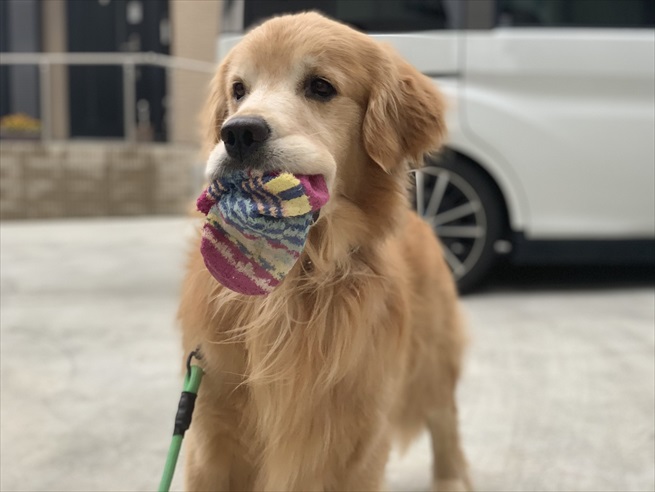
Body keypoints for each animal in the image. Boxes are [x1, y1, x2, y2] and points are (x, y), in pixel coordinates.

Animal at [179, 11, 472, 492]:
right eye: (239, 90)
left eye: (320, 87)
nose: (237, 132)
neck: (296, 283)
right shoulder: (212, 430)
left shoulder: (355, 441)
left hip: (432, 360)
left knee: (445, 419)